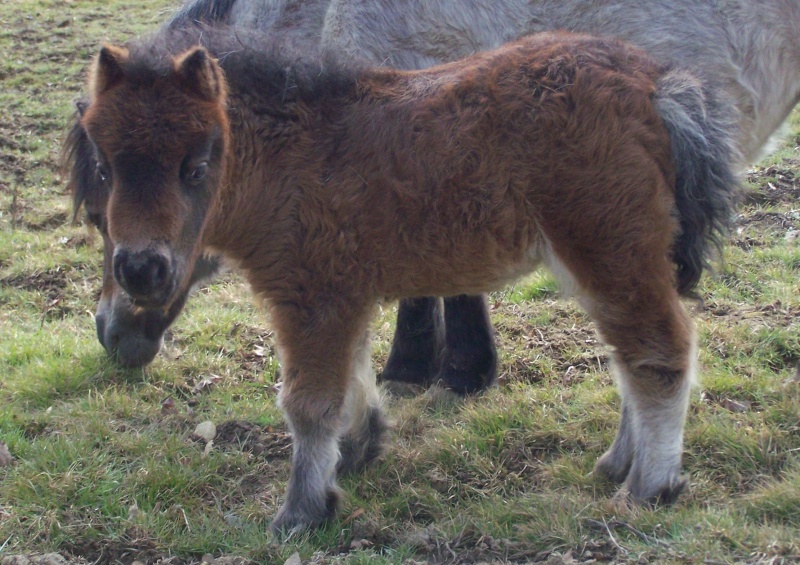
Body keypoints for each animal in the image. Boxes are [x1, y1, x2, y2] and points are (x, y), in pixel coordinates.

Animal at [75, 26, 736, 532]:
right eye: (104, 170)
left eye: (196, 164)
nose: (140, 270)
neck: (290, 158)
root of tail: (655, 83)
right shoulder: (343, 296)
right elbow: (351, 376)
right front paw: (358, 450)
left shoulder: (310, 296)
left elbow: (307, 402)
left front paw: (301, 512)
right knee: (628, 354)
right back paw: (616, 464)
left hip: (610, 248)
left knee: (659, 352)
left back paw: (649, 488)